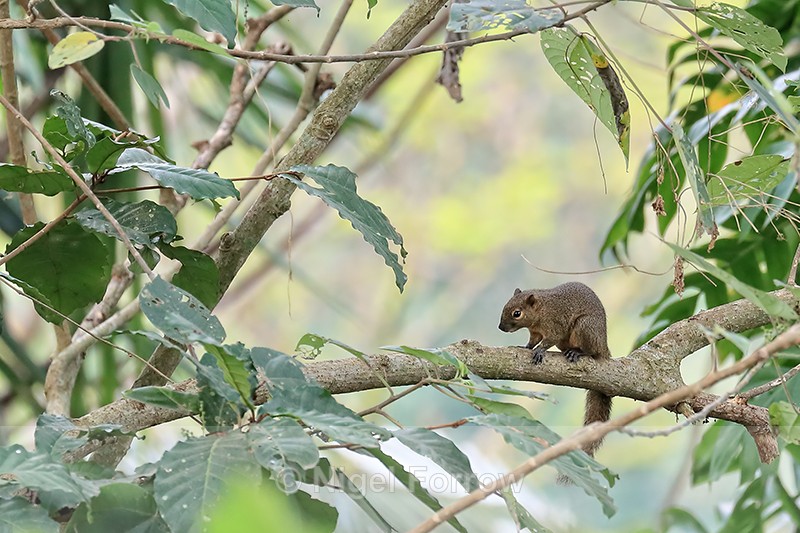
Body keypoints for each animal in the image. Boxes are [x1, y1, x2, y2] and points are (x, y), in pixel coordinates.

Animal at [498, 282, 612, 460]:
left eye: (517, 313)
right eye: (505, 306)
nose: (501, 327)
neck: (542, 310)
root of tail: (603, 346)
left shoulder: (555, 325)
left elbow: (549, 340)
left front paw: (540, 351)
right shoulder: (535, 332)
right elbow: (533, 341)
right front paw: (526, 347)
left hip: (585, 327)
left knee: (590, 351)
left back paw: (577, 352)